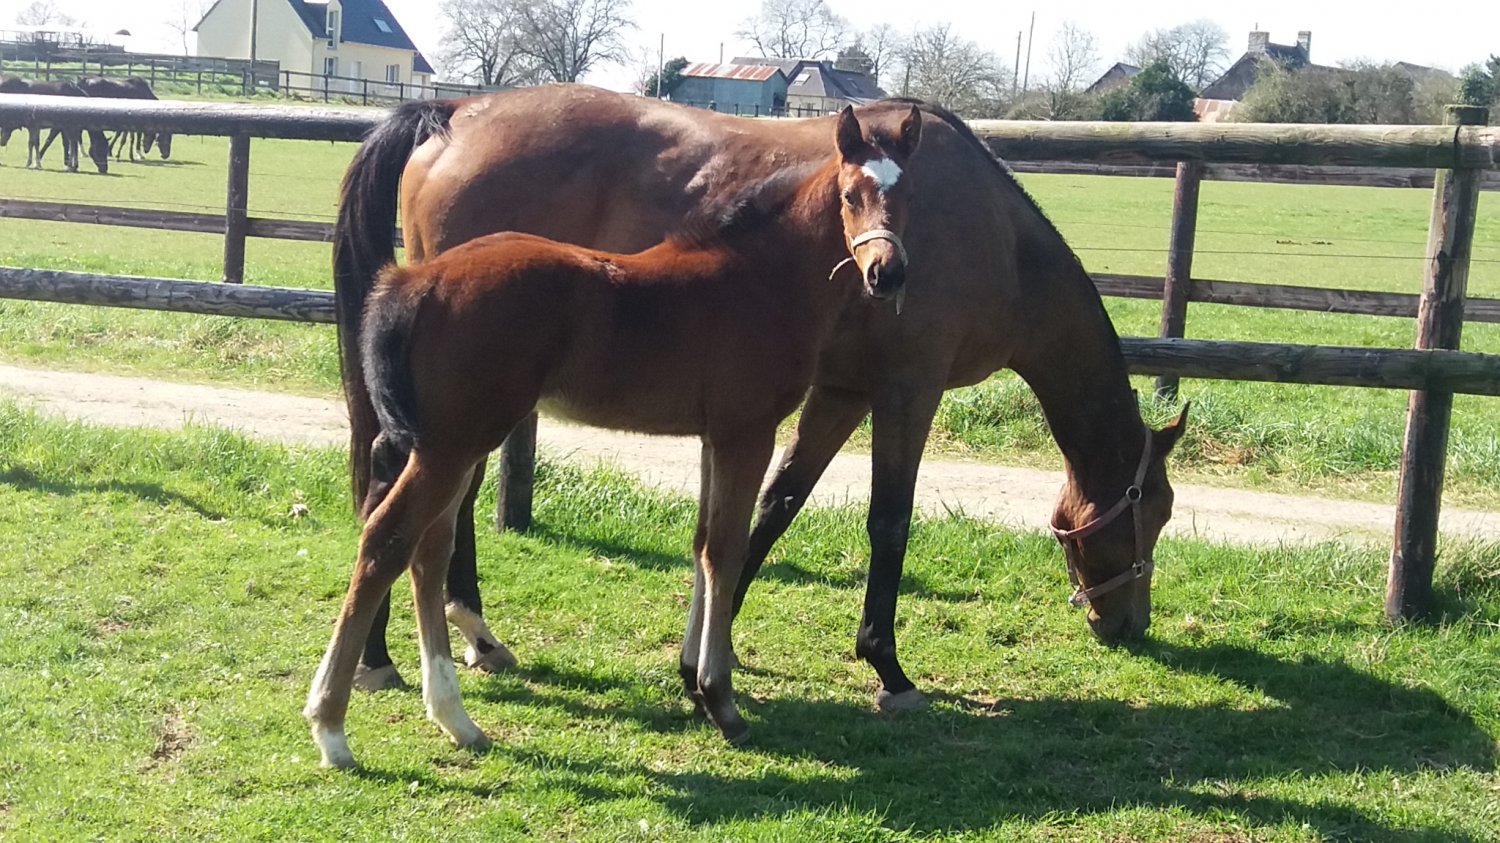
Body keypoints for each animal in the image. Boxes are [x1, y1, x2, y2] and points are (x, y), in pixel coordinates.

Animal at [305, 105, 923, 768]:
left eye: (908, 195)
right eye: (850, 195)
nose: (887, 273)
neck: (756, 279)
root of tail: (417, 280)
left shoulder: (713, 438)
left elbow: (701, 545)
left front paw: (692, 680)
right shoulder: (746, 432)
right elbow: (726, 551)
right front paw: (721, 700)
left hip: (451, 442)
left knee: (428, 548)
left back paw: (456, 719)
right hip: (453, 443)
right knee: (387, 539)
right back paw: (332, 726)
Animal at [332, 85, 1188, 712]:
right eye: (1153, 508)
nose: (1128, 623)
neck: (993, 237)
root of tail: (453, 113)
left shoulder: (838, 391)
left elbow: (771, 507)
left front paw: (715, 644)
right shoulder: (908, 389)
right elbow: (888, 522)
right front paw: (885, 664)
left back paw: (457, 641)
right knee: (411, 500)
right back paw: (396, 650)